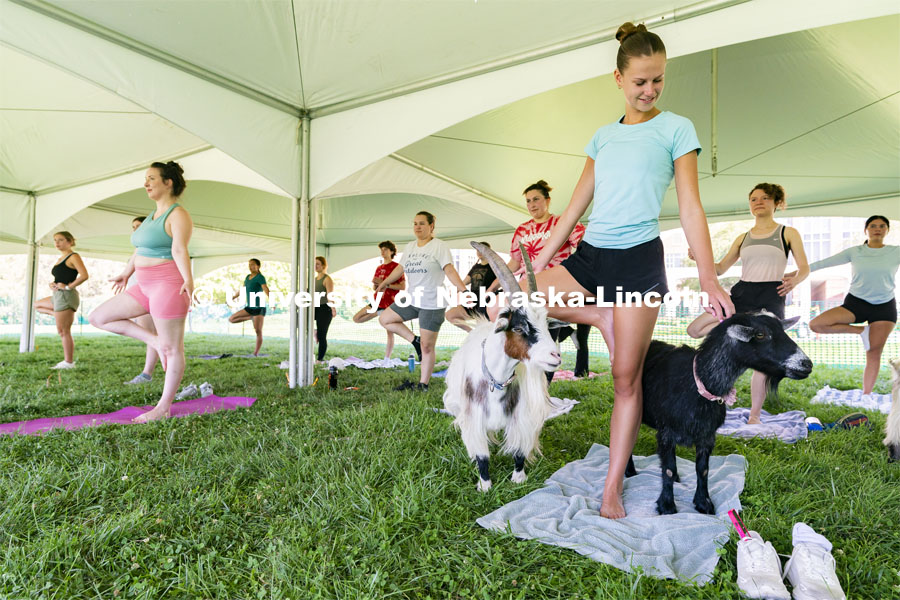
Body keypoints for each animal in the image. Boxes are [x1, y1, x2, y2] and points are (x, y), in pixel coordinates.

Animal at [444, 241, 564, 490]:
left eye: (547, 325)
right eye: (518, 328)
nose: (555, 356)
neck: (496, 380)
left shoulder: (521, 416)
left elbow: (519, 450)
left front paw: (518, 478)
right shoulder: (473, 416)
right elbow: (482, 454)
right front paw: (485, 485)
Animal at [624, 312, 816, 512]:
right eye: (760, 334)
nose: (807, 364)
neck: (697, 384)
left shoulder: (707, 436)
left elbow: (702, 469)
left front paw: (703, 503)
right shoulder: (666, 432)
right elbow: (668, 469)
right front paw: (667, 505)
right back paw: (629, 471)